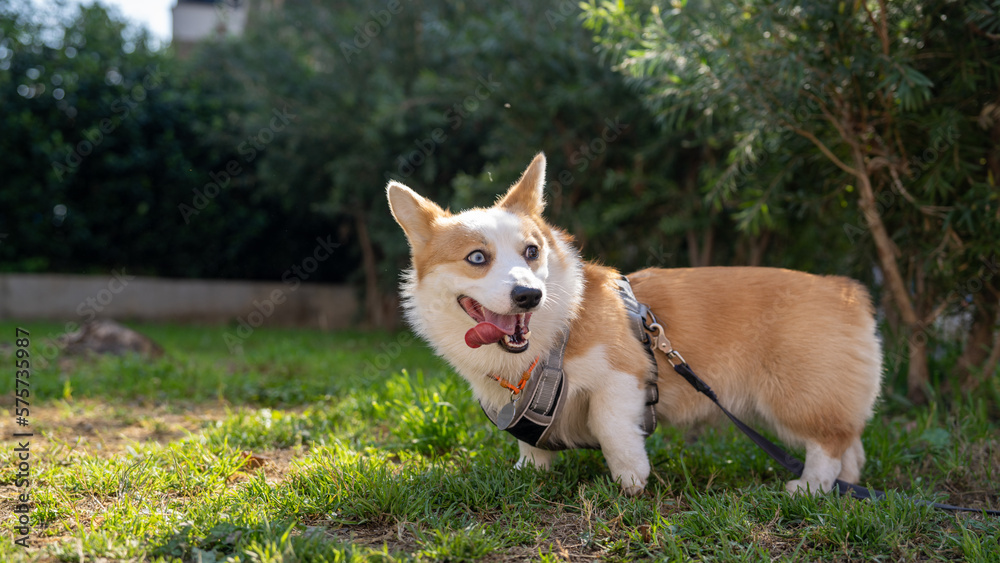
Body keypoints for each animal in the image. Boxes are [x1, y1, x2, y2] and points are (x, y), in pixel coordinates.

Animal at [386, 153, 880, 494]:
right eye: (476, 258)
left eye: (531, 251)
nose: (529, 296)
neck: (554, 333)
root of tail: (848, 291)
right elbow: (530, 442)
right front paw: (530, 474)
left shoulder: (622, 376)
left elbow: (611, 428)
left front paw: (631, 480)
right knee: (851, 442)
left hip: (792, 396)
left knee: (829, 441)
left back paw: (809, 489)